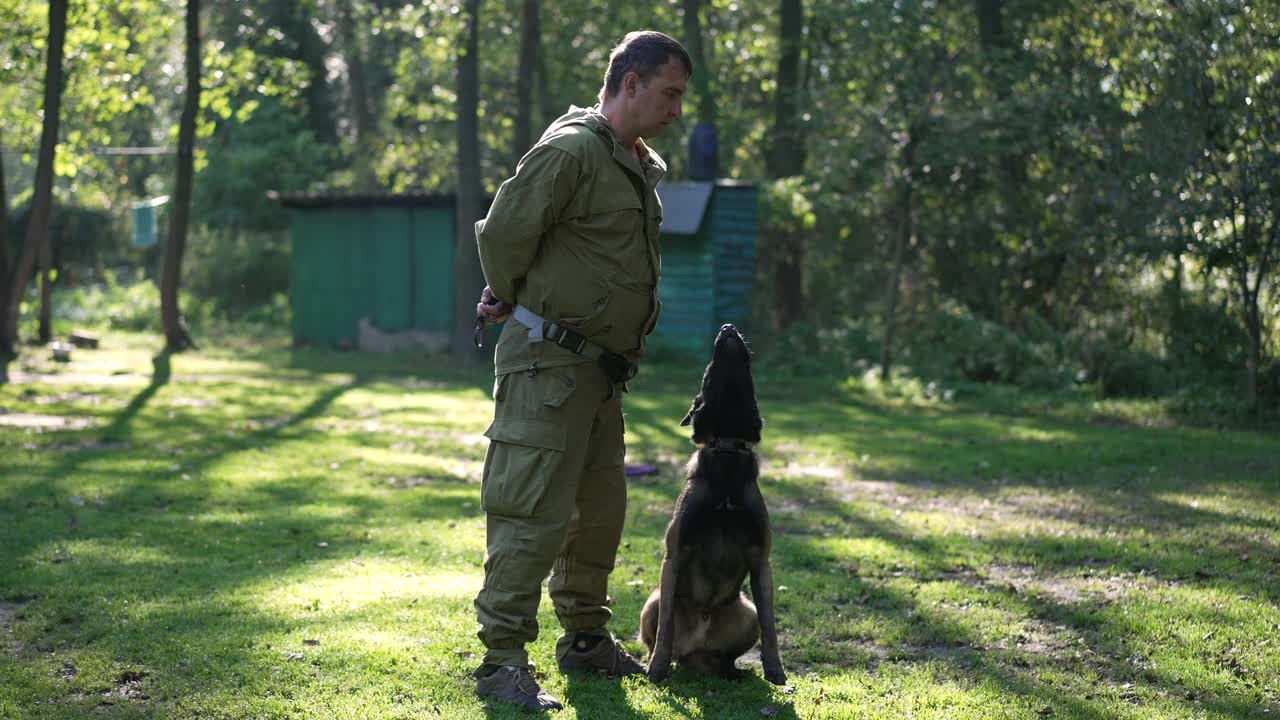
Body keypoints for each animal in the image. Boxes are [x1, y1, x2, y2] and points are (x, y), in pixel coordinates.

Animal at [637, 322, 783, 681]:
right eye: (709, 369)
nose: (728, 327)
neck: (727, 445)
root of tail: (695, 652)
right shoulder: (675, 555)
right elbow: (664, 627)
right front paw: (657, 666)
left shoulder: (761, 560)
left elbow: (770, 624)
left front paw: (775, 668)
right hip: (655, 598)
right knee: (658, 631)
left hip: (745, 611)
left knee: (730, 650)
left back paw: (730, 670)